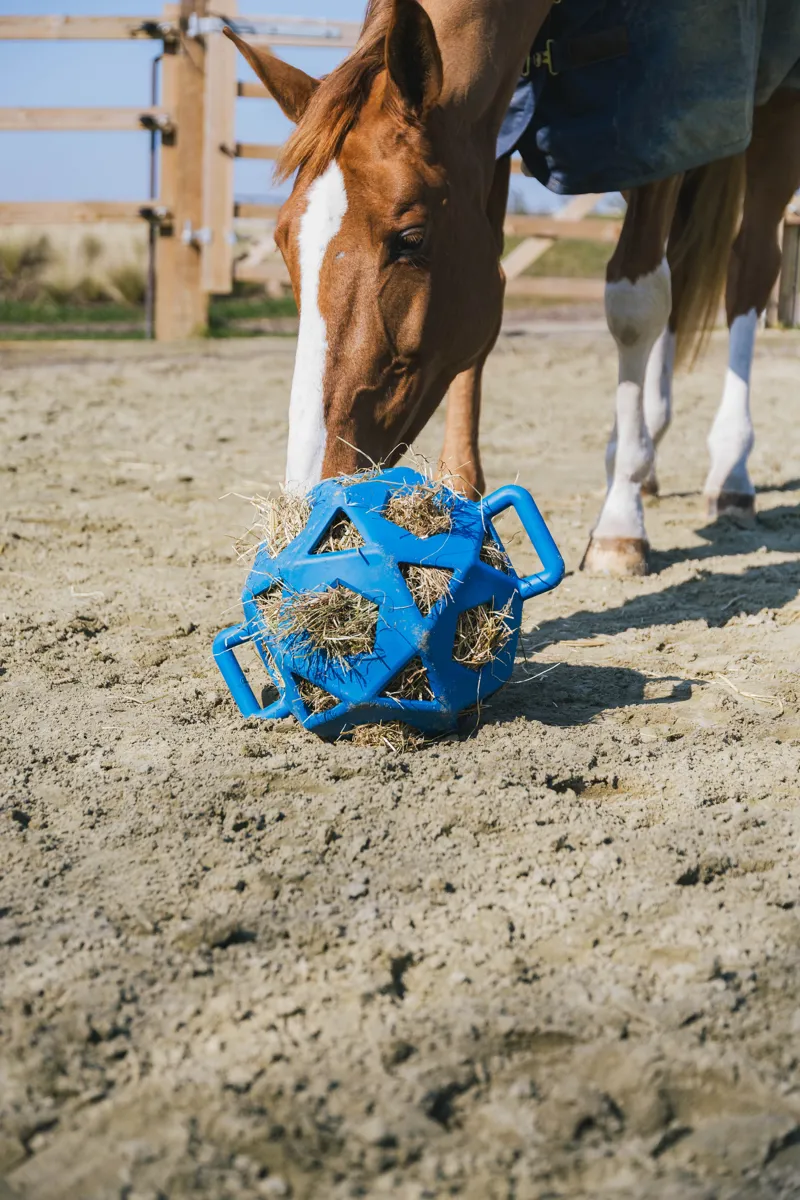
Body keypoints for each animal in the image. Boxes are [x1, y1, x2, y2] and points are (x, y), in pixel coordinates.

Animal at [226, 0, 800, 577]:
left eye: (411, 238)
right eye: (282, 242)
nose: (317, 498)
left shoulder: (653, 119)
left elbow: (634, 307)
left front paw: (620, 521)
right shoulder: (490, 136)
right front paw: (459, 491)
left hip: (773, 109)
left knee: (748, 269)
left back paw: (729, 471)